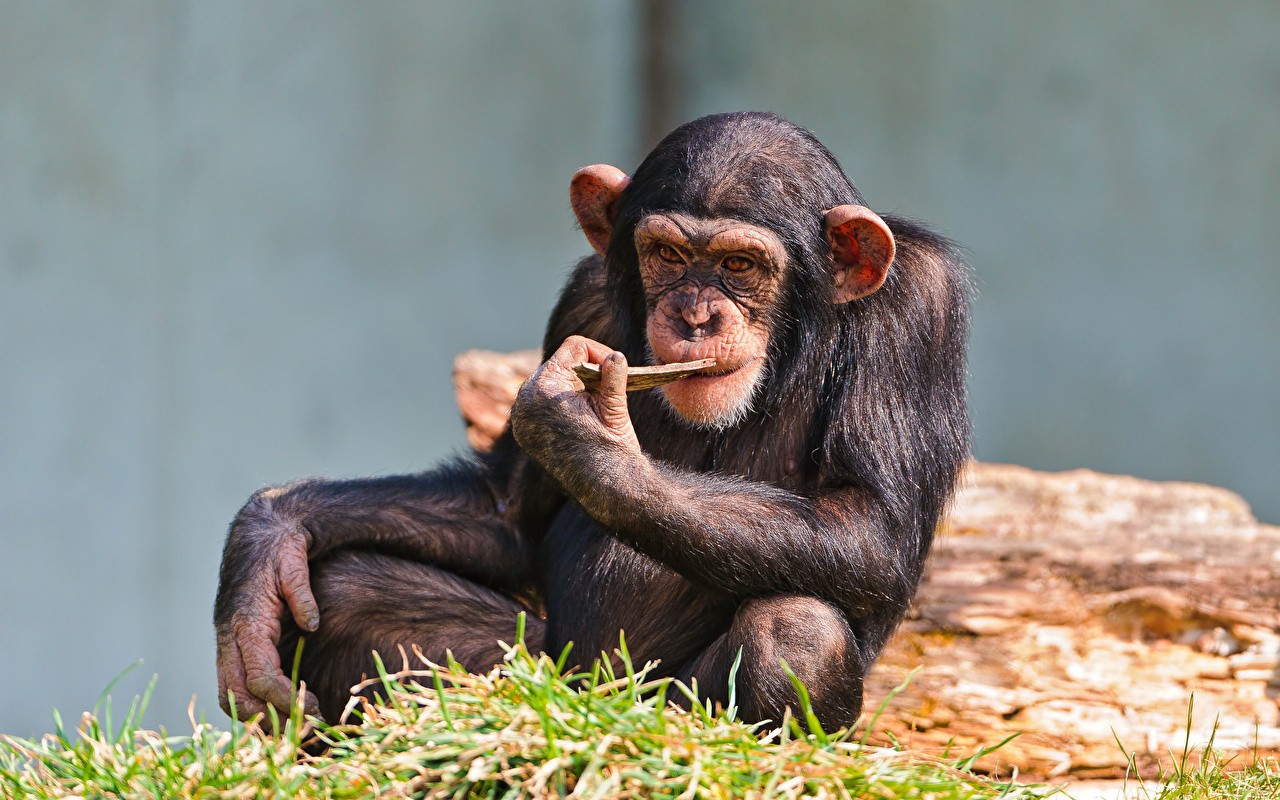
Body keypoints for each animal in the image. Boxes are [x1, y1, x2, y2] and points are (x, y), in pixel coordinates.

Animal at [212, 112, 967, 732]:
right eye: (668, 255)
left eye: (739, 264)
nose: (695, 315)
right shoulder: (582, 303)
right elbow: (508, 510)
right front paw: (268, 535)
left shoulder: (918, 310)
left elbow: (869, 523)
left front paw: (586, 440)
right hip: (543, 668)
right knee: (343, 593)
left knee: (797, 632)